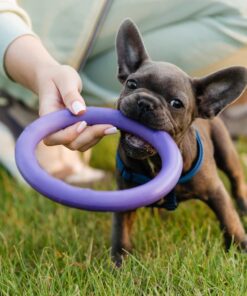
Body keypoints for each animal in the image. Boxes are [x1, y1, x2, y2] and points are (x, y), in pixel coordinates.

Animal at [112, 19, 247, 266]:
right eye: (132, 84)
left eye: (176, 103)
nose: (145, 102)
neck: (156, 162)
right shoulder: (123, 196)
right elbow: (121, 230)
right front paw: (119, 262)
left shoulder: (215, 192)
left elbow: (229, 220)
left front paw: (241, 248)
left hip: (226, 152)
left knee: (237, 180)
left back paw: (243, 206)